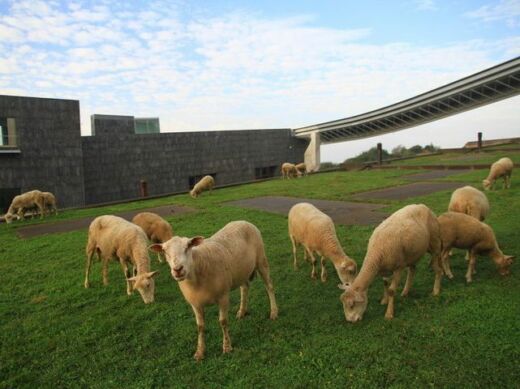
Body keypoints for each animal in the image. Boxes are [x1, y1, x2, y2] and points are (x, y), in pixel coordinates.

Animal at [148, 220, 278, 360]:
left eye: (188, 247)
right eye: (164, 251)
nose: (178, 269)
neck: (198, 268)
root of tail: (243, 221)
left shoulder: (223, 297)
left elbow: (223, 322)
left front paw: (227, 347)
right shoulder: (195, 304)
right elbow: (200, 327)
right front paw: (200, 351)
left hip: (261, 259)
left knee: (269, 286)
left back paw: (274, 312)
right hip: (241, 271)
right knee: (245, 288)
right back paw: (242, 311)